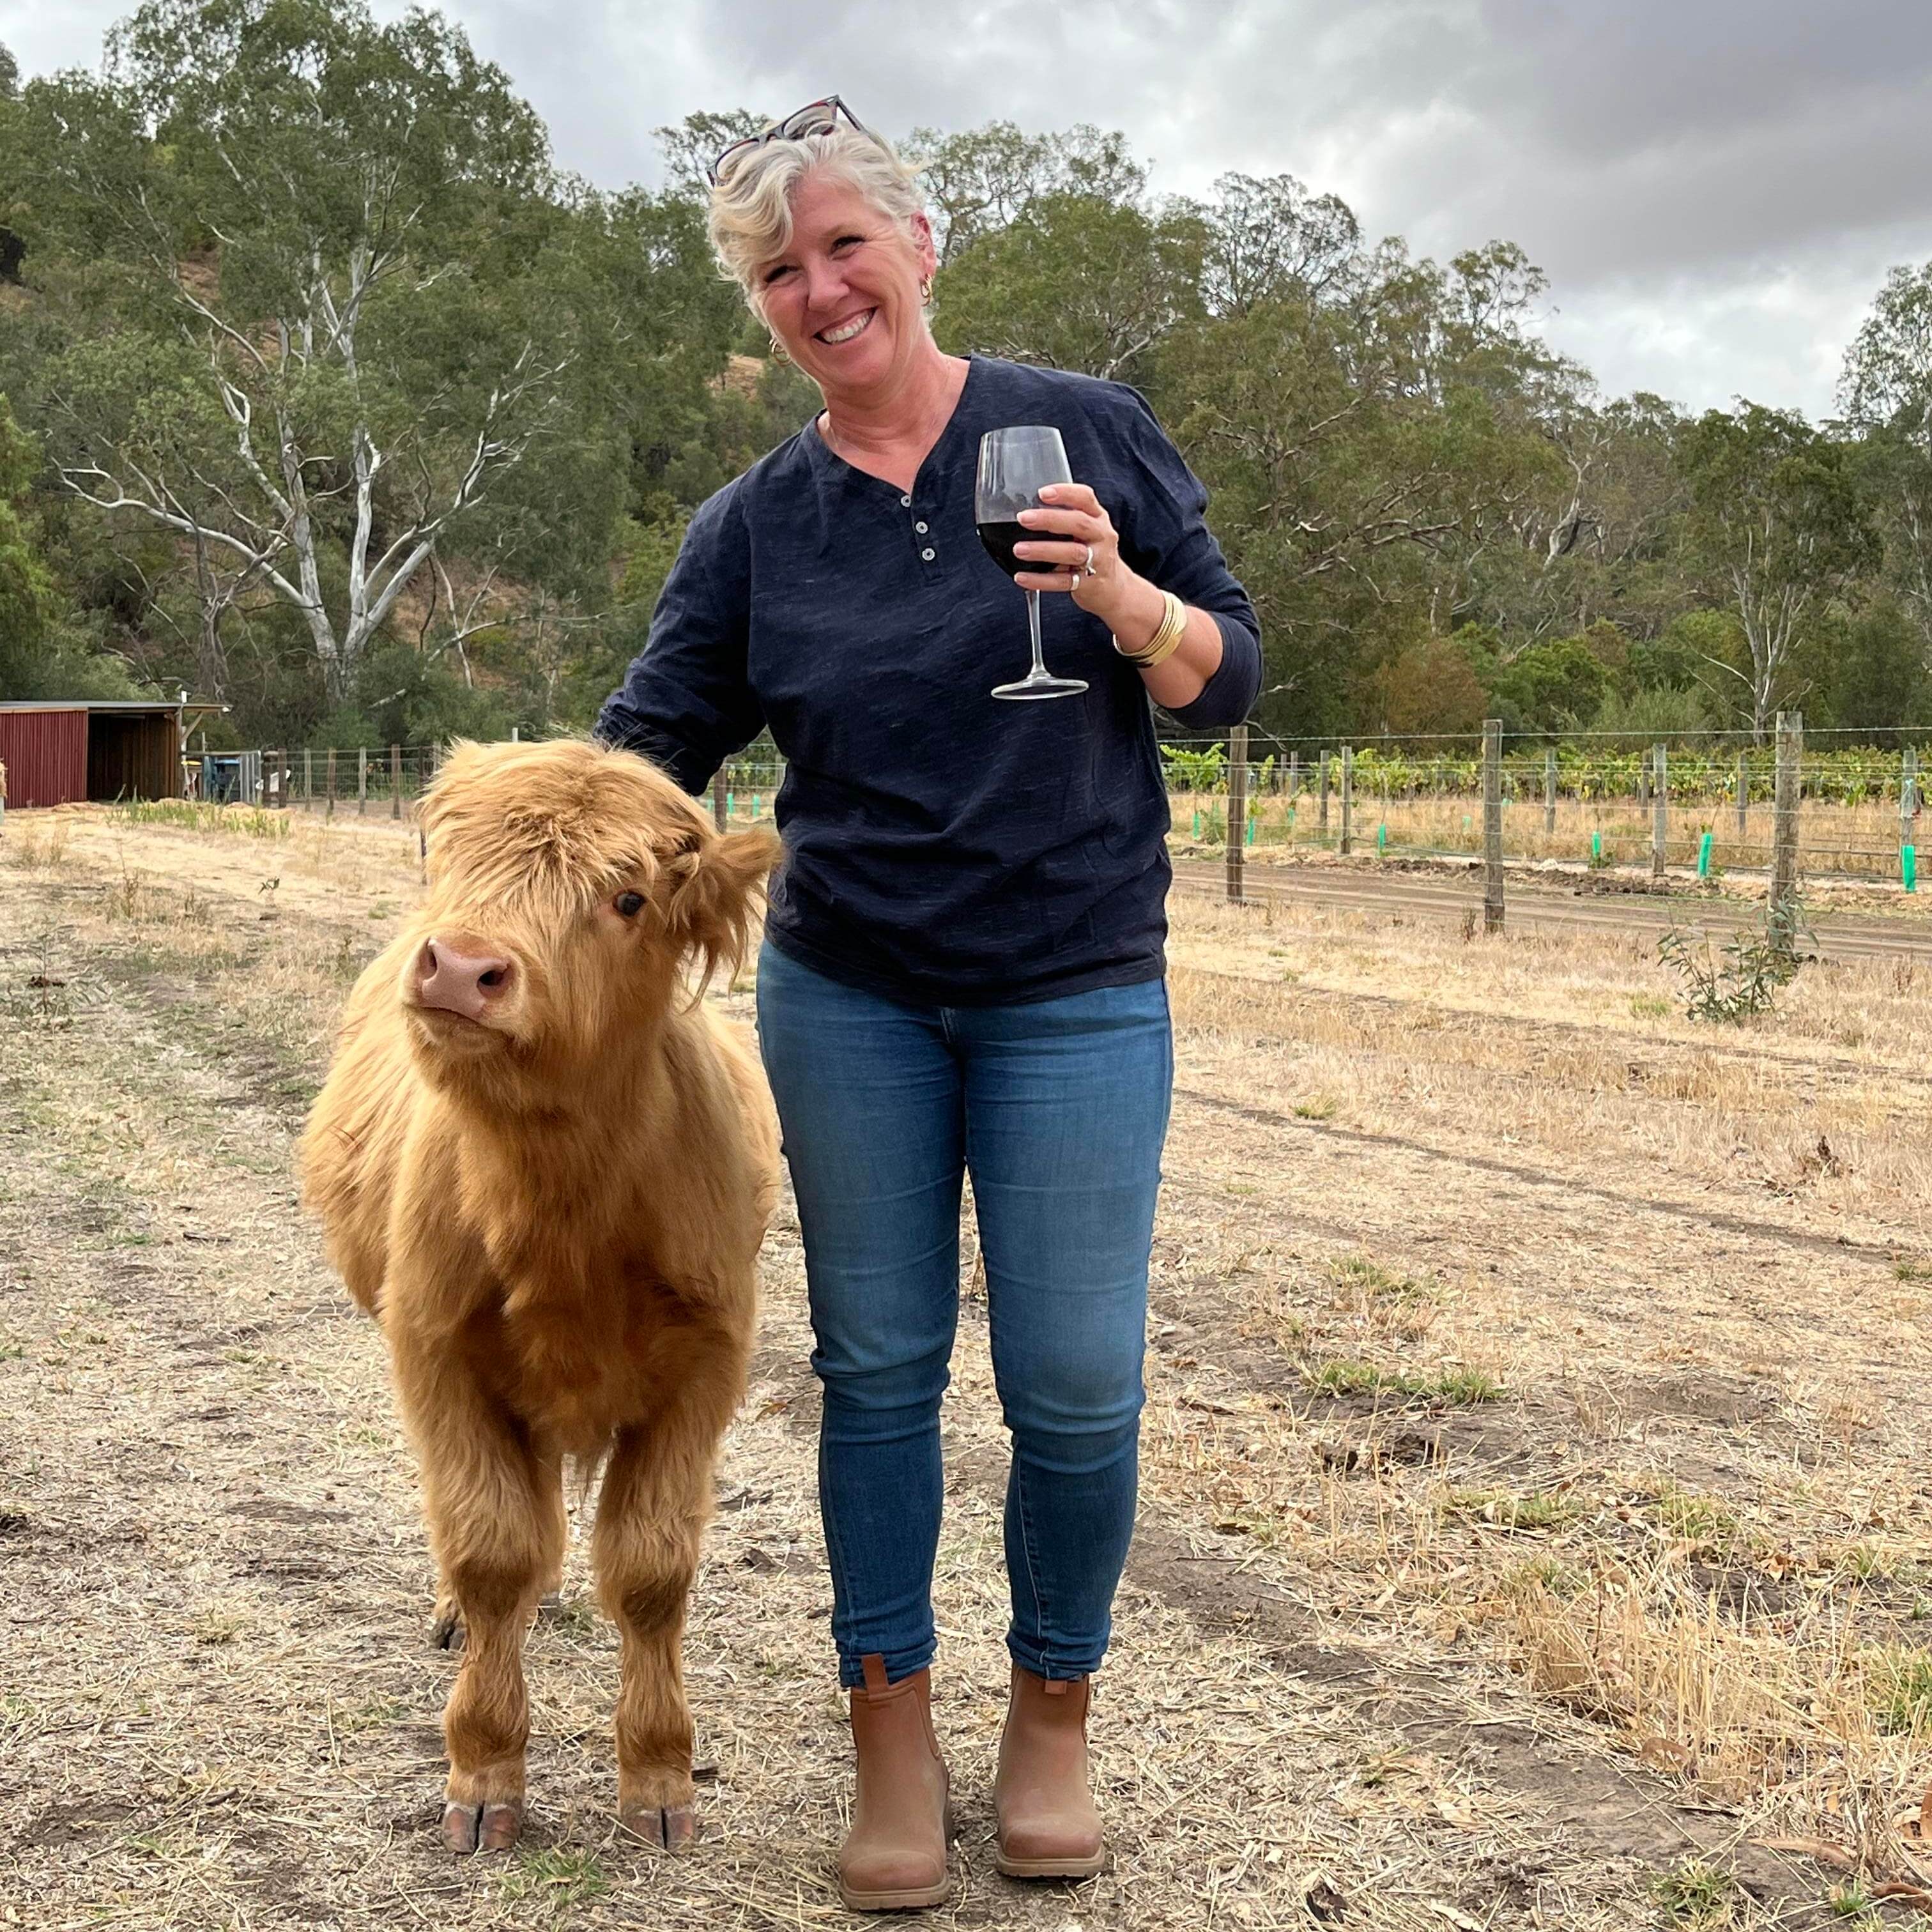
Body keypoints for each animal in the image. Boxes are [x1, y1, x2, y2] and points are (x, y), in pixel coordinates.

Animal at [299, 737, 780, 1855]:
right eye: (449, 856)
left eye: (630, 898)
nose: (460, 968)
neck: (561, 1214)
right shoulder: (434, 1355)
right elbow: (490, 1549)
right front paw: (483, 1774)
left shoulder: (706, 1367)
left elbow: (650, 1570)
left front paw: (659, 1778)